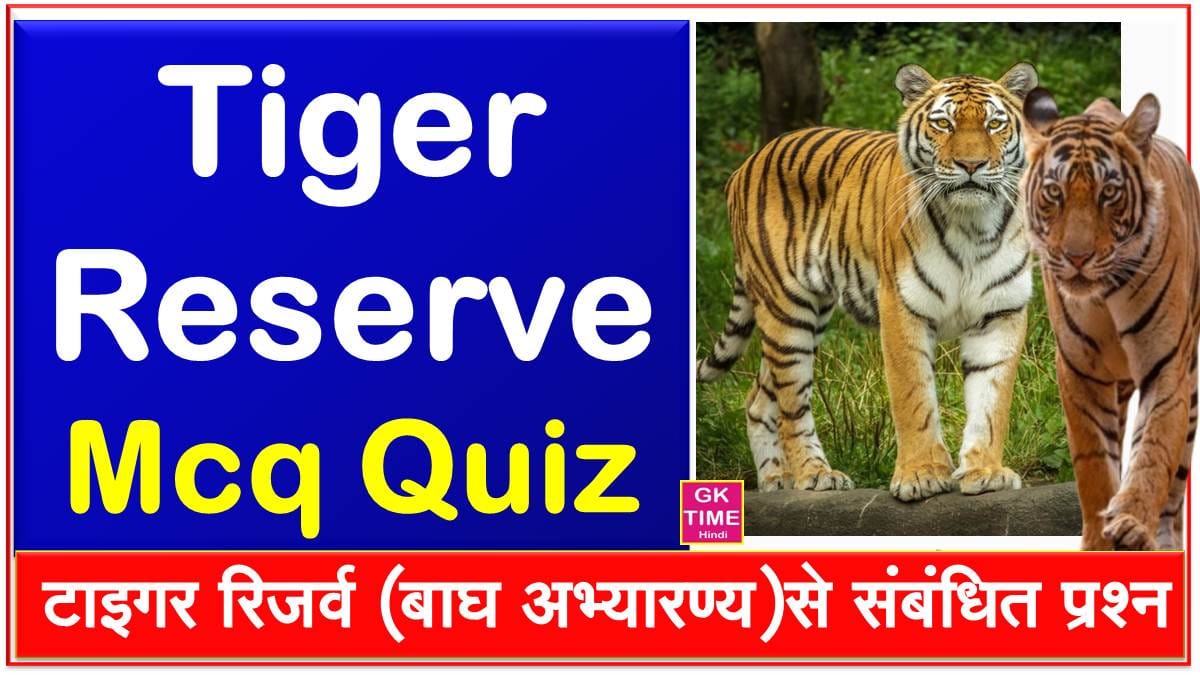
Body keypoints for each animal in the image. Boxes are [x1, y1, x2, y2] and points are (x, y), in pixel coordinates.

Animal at [697, 63, 1040, 502]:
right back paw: (815, 475)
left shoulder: (1001, 313)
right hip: (787, 311)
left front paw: (986, 471)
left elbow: (991, 402)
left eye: (994, 124)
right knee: (792, 403)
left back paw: (776, 481)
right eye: (943, 124)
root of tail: (746, 163)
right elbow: (913, 397)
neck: (972, 225)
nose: (971, 164)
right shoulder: (902, 308)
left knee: (759, 399)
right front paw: (921, 475)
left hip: (803, 317)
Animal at [1021, 89, 1200, 550]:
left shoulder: (1166, 363)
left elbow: (1154, 446)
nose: (1077, 257)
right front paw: (1098, 540)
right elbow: (1094, 463)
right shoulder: (1079, 371)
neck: (1103, 296)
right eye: (1055, 192)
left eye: (1109, 193)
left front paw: (1133, 523)